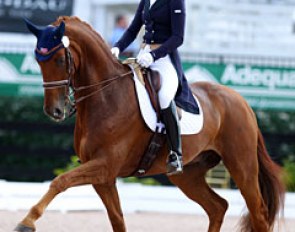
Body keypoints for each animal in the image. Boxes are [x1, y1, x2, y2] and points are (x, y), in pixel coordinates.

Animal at [15, 16, 284, 232]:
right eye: (38, 61)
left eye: (60, 60)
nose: (54, 111)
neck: (106, 97)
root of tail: (241, 100)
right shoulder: (104, 177)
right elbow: (117, 220)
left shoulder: (104, 166)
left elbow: (59, 181)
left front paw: (27, 222)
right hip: (188, 174)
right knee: (218, 207)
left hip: (242, 166)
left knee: (258, 213)